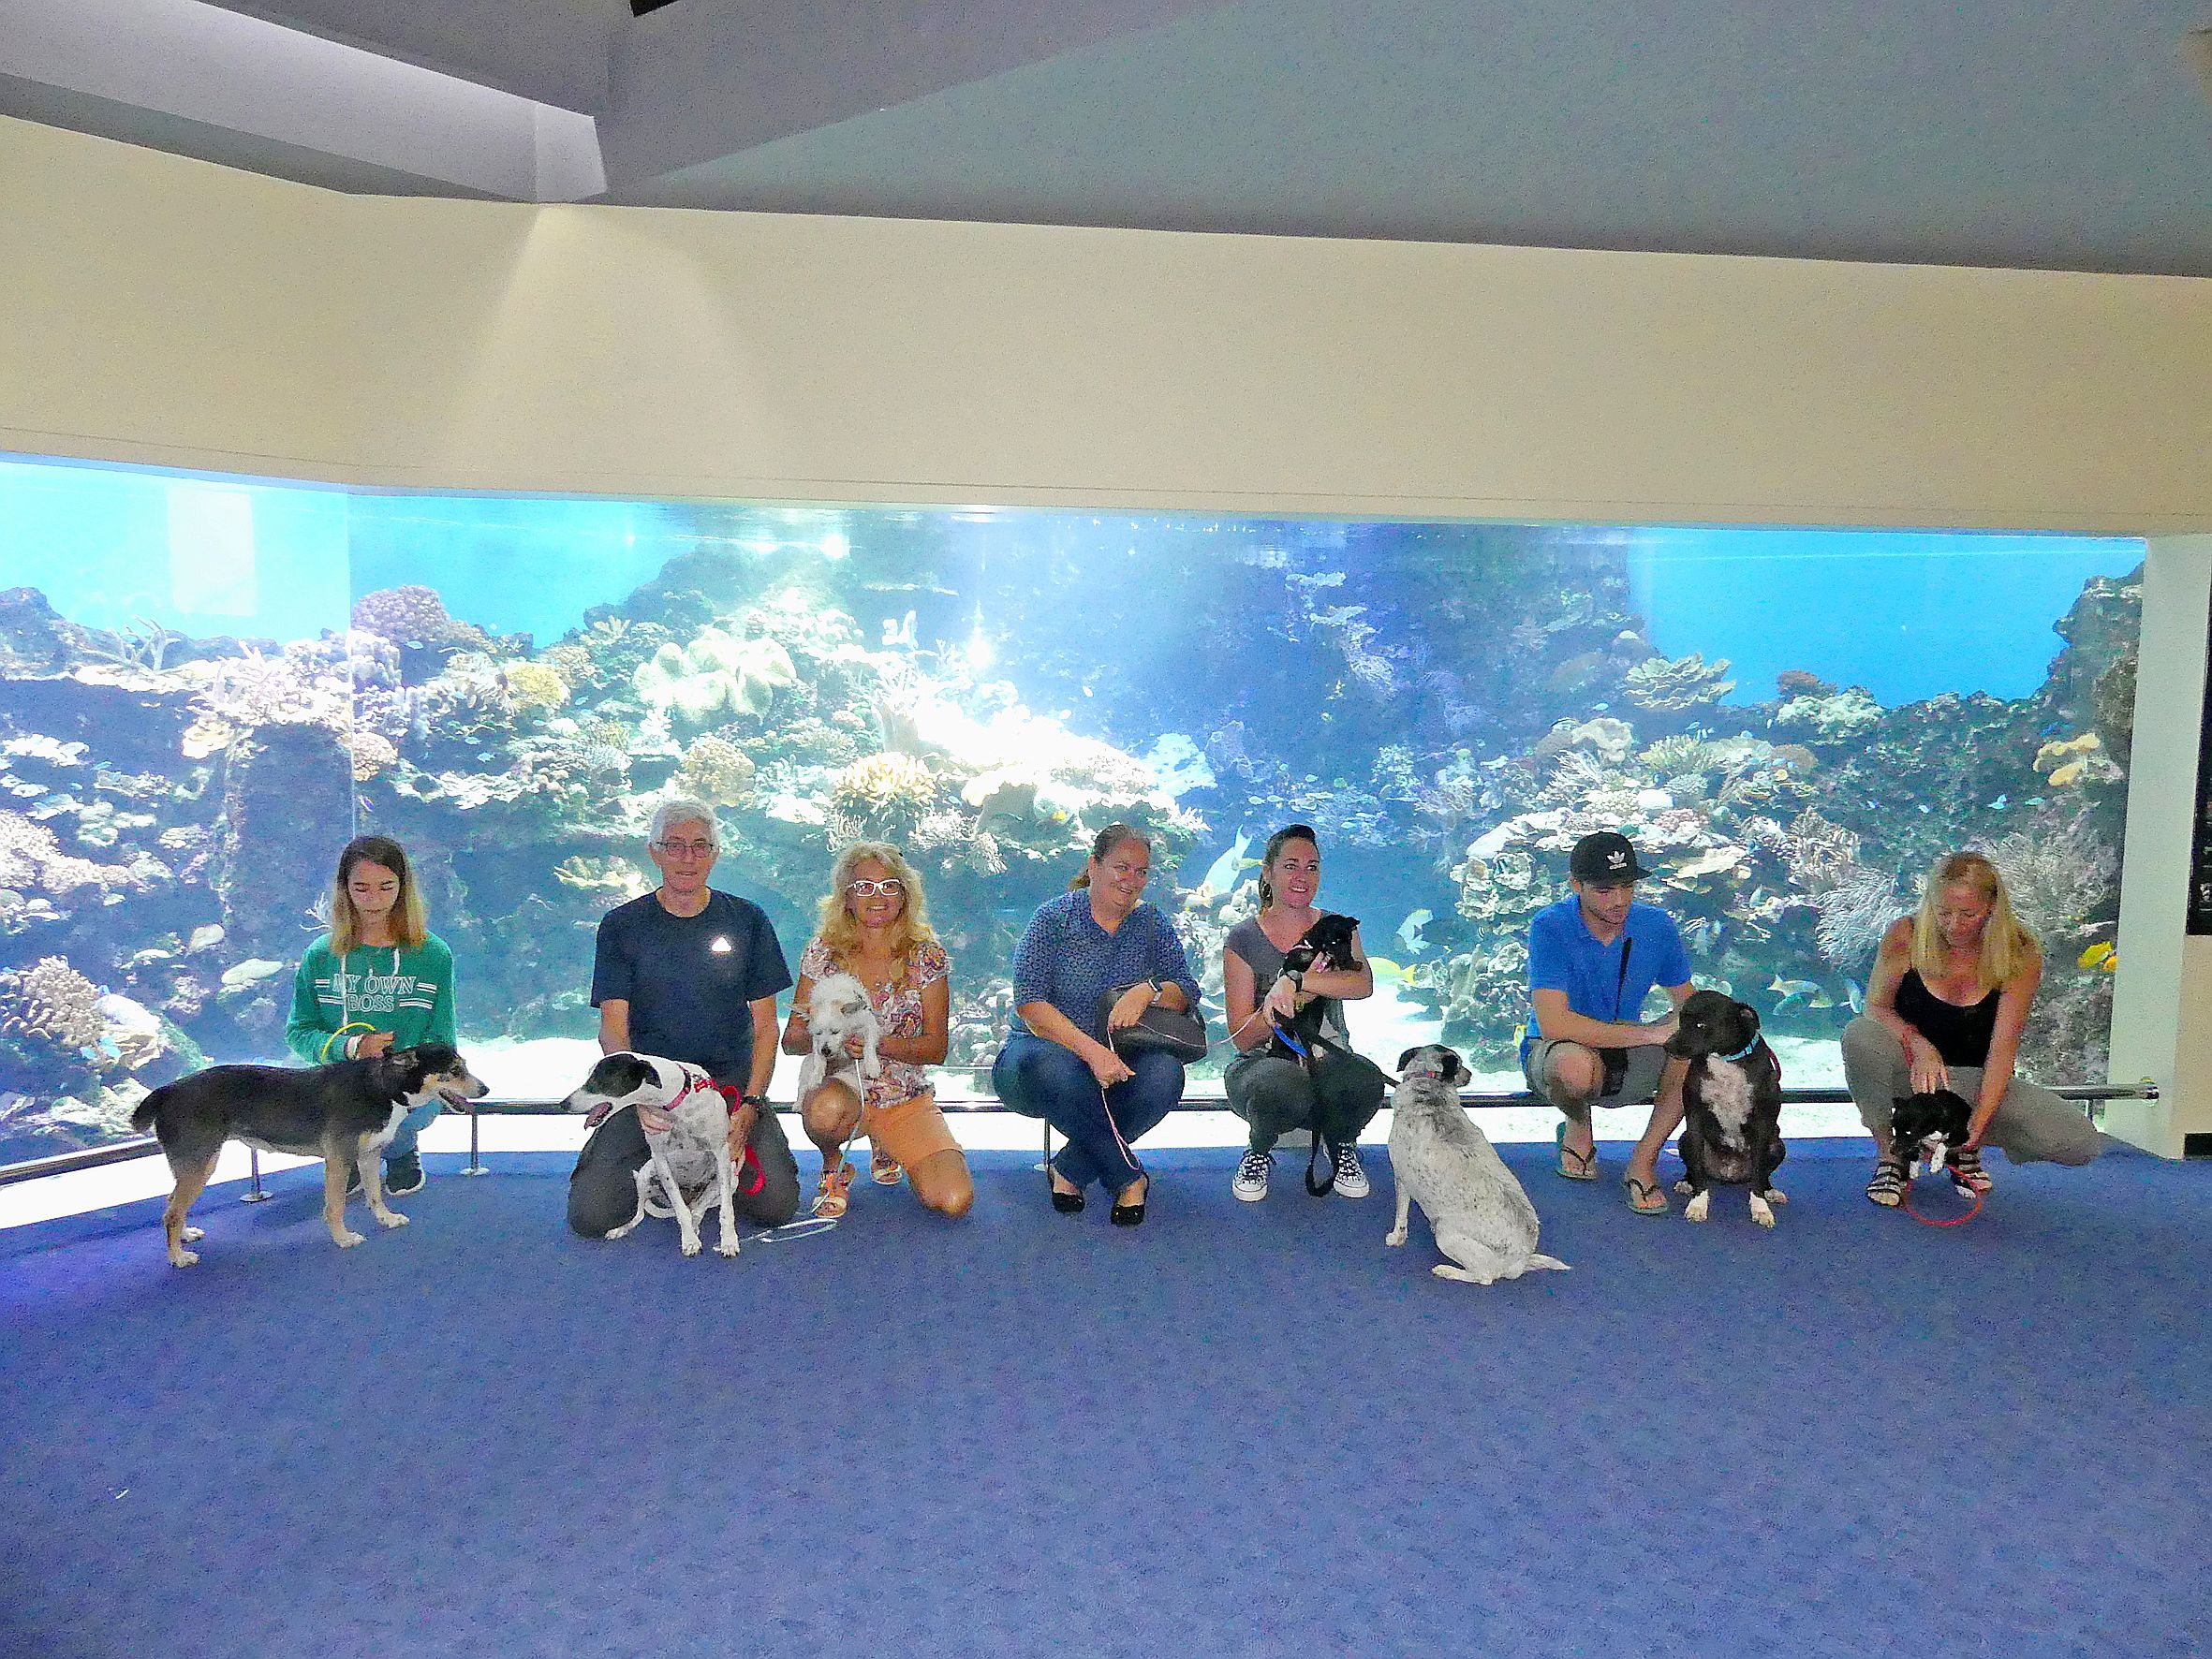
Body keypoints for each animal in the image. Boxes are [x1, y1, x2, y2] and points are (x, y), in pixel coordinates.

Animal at [131, 1052, 486, 1273]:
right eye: (455, 1070)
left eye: (464, 1065)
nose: (486, 1089)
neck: (383, 1086)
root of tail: (167, 1090)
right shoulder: (340, 1160)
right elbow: (335, 1207)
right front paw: (343, 1239)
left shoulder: (369, 1156)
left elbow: (375, 1196)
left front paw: (387, 1219)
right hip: (202, 1164)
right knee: (171, 1213)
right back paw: (178, 1257)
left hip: (195, 1166)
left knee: (172, 1205)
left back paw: (186, 1236)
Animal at [561, 1052, 752, 1255]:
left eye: (599, 1078)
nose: (563, 1104)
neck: (676, 1102)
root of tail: (690, 1198)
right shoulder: (660, 1158)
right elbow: (680, 1209)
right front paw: (689, 1240)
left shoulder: (721, 1153)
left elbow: (726, 1210)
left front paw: (729, 1241)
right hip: (645, 1174)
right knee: (642, 1214)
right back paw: (621, 1229)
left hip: (732, 1176)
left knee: (699, 1208)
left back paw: (696, 1223)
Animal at [1379, 1044, 1574, 1291]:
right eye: (1461, 1064)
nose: (1471, 1075)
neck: (1430, 1081)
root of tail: (1523, 1259)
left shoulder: (1401, 1177)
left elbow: (1401, 1217)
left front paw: (1396, 1238)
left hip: (1446, 1234)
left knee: (1484, 1277)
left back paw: (1447, 1270)